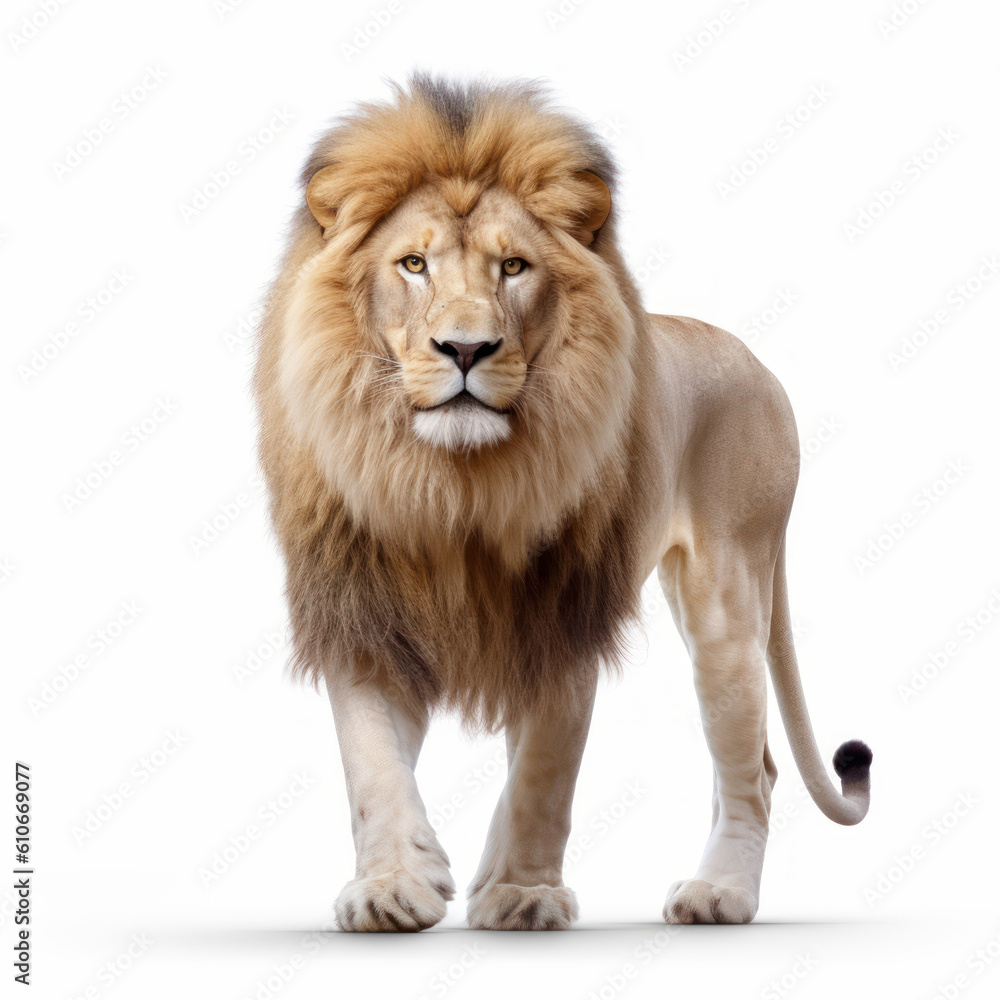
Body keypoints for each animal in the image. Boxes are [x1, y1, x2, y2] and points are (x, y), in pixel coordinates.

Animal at [253, 74, 872, 930]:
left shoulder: (563, 615)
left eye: (513, 267)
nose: (466, 349)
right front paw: (394, 886)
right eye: (412, 264)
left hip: (729, 593)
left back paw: (721, 893)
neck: (453, 484)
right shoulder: (363, 608)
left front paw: (521, 893)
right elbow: (373, 764)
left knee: (755, 766)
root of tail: (755, 359)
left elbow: (543, 775)